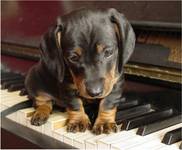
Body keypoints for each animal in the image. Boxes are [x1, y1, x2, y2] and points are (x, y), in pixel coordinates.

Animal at [25, 7, 135, 135]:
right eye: (73, 58)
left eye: (108, 52)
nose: (95, 93)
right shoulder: (67, 87)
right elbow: (75, 103)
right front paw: (78, 120)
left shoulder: (115, 83)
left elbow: (108, 102)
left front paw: (104, 122)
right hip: (33, 81)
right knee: (42, 102)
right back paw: (41, 113)